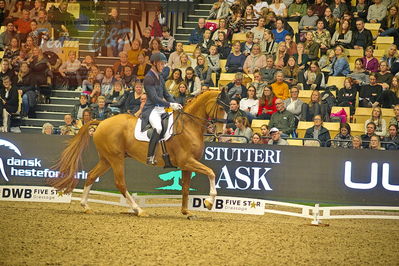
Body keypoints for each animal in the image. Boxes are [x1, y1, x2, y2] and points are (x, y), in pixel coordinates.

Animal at [48, 90, 228, 217]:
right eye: (220, 107)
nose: (220, 132)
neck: (188, 125)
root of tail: (102, 122)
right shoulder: (187, 161)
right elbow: (211, 173)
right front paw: (209, 202)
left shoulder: (187, 165)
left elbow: (185, 188)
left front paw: (186, 212)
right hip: (115, 159)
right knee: (120, 183)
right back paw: (138, 210)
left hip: (106, 159)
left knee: (91, 175)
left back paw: (86, 207)